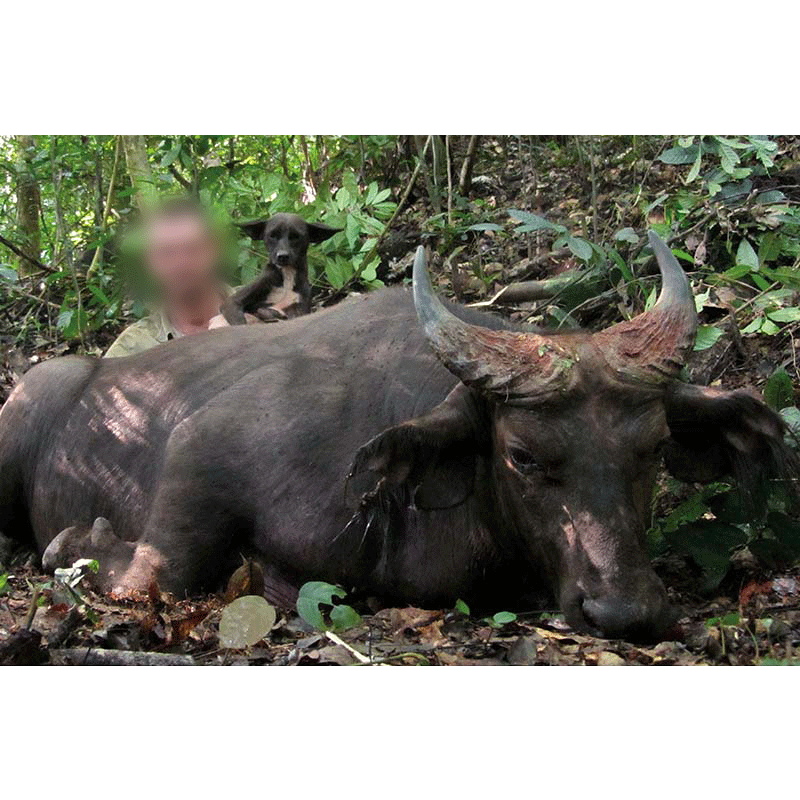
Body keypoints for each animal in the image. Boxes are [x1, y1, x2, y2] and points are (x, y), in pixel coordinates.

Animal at [0, 231, 792, 636]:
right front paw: (75, 548)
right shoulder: (202, 448)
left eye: (653, 449)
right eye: (522, 455)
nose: (627, 612)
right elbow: (154, 576)